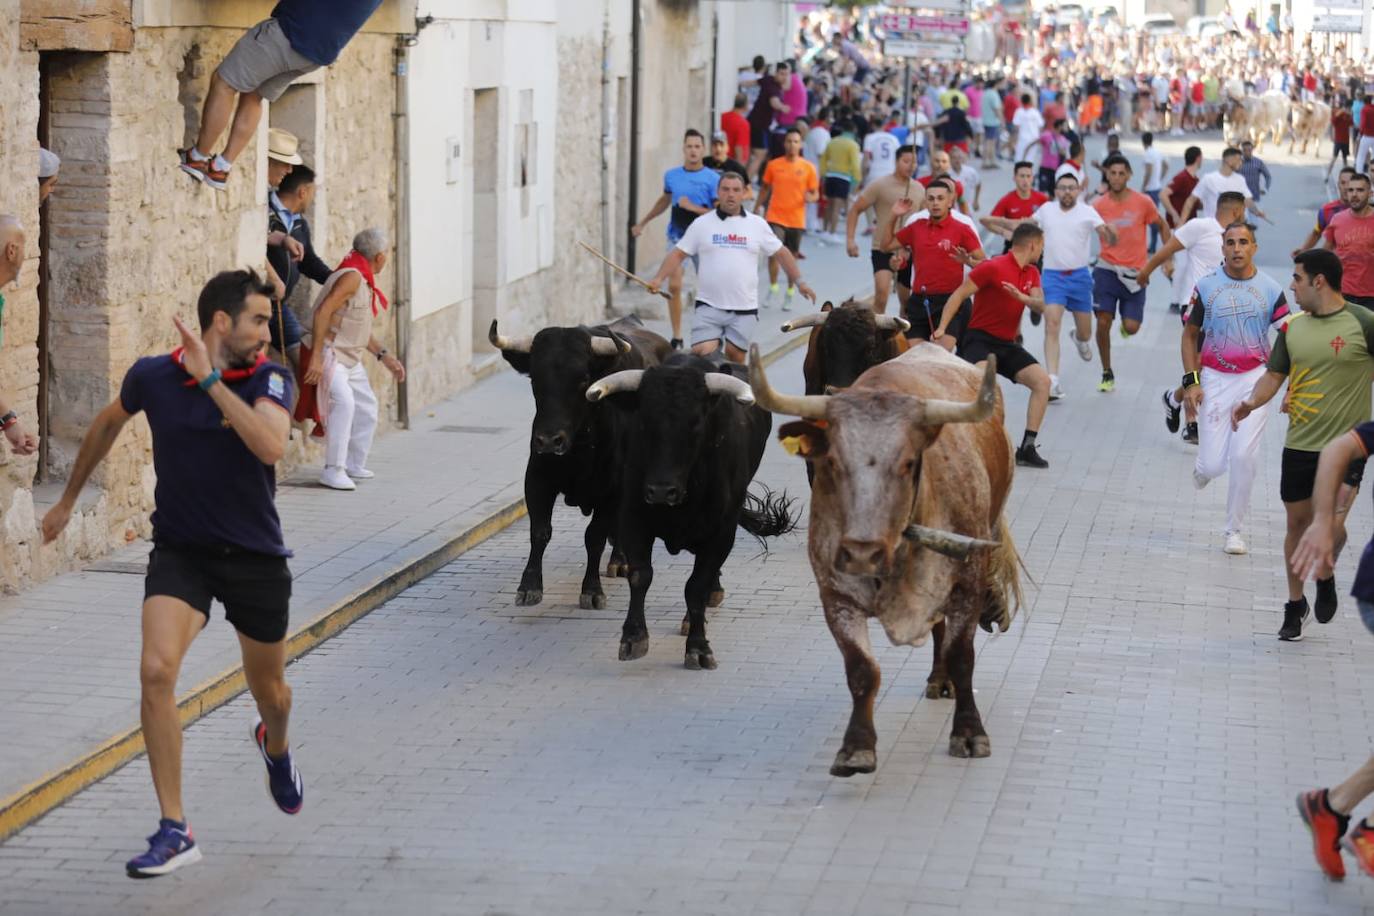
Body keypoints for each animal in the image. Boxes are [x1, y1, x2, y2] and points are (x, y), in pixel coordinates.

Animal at [494, 318, 670, 612]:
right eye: (535, 379)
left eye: (584, 380)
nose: (549, 440)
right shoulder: (537, 479)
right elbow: (539, 531)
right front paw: (529, 587)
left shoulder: (613, 490)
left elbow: (594, 537)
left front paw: (592, 590)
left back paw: (620, 561)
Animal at [588, 354, 802, 670]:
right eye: (644, 422)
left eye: (696, 425)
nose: (661, 491)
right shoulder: (633, 519)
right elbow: (641, 575)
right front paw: (633, 637)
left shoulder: (721, 533)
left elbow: (696, 587)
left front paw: (698, 647)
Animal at [752, 341, 1022, 774]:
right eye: (832, 463)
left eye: (908, 463)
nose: (862, 551)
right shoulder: (836, 594)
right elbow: (862, 670)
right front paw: (856, 747)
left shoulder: (967, 582)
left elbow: (963, 656)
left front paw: (969, 733)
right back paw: (937, 679)